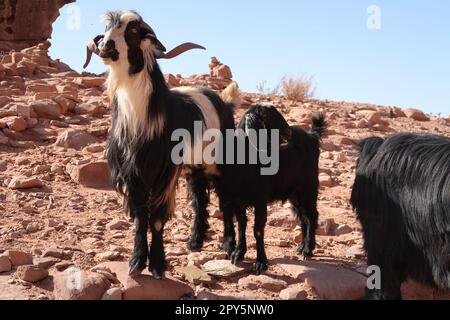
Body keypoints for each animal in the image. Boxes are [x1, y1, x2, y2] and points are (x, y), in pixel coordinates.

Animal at [85, 10, 237, 278]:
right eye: (107, 27)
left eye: (134, 30)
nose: (105, 46)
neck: (140, 119)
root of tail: (223, 102)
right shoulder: (132, 173)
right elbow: (140, 218)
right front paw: (136, 262)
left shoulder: (163, 174)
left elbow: (155, 219)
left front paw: (156, 264)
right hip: (194, 168)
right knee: (200, 201)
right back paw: (195, 241)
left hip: (220, 163)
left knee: (225, 201)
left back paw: (229, 246)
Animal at [213, 104, 326, 274]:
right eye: (270, 115)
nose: (289, 132)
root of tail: (312, 137)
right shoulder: (238, 202)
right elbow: (241, 225)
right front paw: (238, 253)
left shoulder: (260, 201)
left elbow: (257, 230)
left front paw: (261, 263)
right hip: (294, 193)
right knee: (303, 216)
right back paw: (301, 247)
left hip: (308, 186)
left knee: (312, 215)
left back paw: (308, 249)